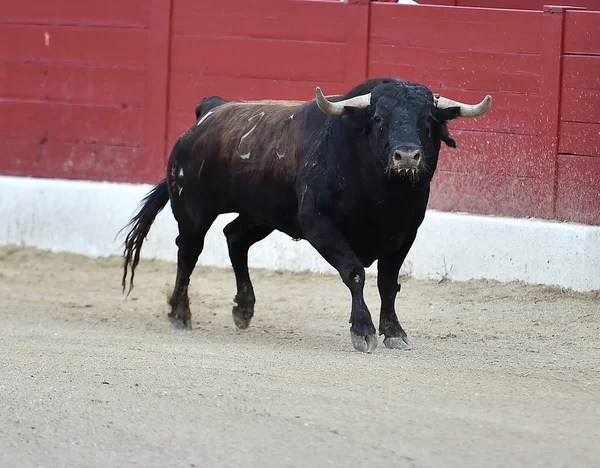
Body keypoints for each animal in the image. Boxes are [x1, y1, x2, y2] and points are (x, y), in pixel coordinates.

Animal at [122, 77, 492, 352]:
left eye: (428, 120)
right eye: (379, 119)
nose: (407, 156)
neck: (383, 195)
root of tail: (209, 111)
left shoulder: (405, 233)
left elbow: (388, 283)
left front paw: (394, 332)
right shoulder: (318, 224)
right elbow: (355, 272)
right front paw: (363, 330)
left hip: (262, 214)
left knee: (235, 237)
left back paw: (244, 308)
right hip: (193, 209)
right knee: (189, 251)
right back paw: (179, 313)